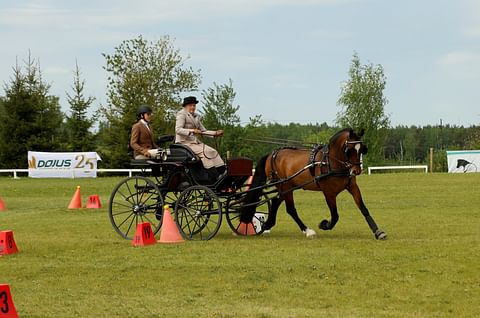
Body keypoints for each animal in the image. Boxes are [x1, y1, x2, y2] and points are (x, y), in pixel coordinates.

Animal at [240, 128, 386, 240]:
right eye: (348, 149)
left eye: (361, 149)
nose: (356, 171)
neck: (331, 161)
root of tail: (272, 154)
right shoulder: (329, 193)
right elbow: (335, 215)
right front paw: (324, 224)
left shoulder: (352, 187)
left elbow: (363, 208)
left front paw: (378, 232)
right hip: (285, 186)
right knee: (291, 209)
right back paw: (307, 231)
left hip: (287, 187)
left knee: (276, 202)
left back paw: (267, 225)